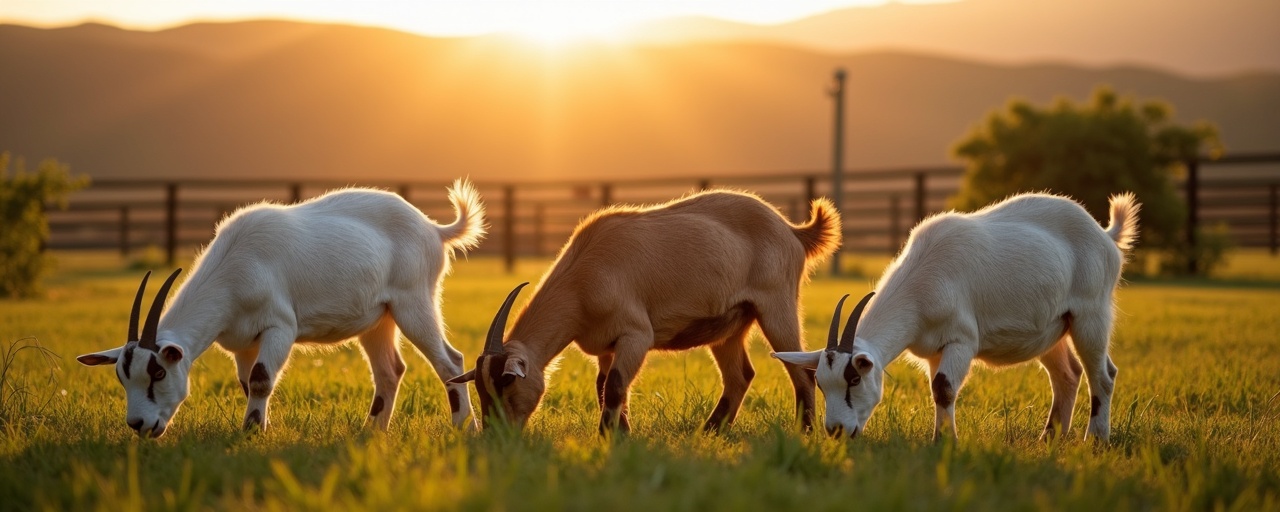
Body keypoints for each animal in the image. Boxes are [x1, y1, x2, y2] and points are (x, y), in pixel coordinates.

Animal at [77, 181, 485, 438]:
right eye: (122, 376)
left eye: (158, 372)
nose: (139, 425)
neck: (236, 262)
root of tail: (434, 229)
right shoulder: (242, 342)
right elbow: (248, 382)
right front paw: (258, 427)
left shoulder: (279, 328)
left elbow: (261, 378)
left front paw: (251, 433)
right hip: (378, 321)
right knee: (390, 370)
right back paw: (371, 431)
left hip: (413, 303)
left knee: (450, 361)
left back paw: (465, 427)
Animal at [448, 189, 842, 434]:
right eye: (480, 389)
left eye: (507, 384)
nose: (496, 435)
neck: (583, 275)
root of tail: (792, 231)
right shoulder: (606, 346)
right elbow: (604, 386)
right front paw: (620, 434)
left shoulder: (636, 334)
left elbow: (616, 386)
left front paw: (607, 437)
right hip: (730, 326)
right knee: (740, 375)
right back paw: (710, 432)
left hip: (776, 306)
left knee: (800, 369)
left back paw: (804, 431)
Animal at [775, 192, 1139, 442]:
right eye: (822, 383)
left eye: (854, 379)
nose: (836, 430)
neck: (922, 278)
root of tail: (1105, 236)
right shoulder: (933, 351)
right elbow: (937, 391)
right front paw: (941, 439)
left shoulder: (961, 340)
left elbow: (944, 388)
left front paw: (946, 443)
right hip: (1051, 330)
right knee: (1068, 374)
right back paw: (1049, 439)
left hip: (1090, 314)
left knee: (1103, 375)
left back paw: (1096, 439)